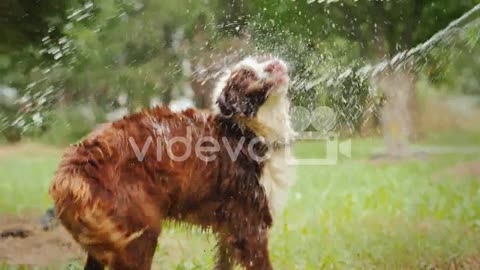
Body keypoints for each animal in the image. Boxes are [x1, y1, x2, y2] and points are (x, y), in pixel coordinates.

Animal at [49, 56, 296, 268]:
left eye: (259, 60)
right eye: (246, 75)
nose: (274, 63)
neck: (243, 130)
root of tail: (73, 166)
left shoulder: (229, 231)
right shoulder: (249, 224)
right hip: (139, 234)